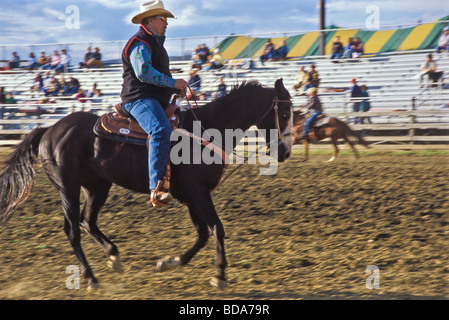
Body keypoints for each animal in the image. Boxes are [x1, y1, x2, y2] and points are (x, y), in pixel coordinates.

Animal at [0, 78, 292, 290]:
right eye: (287, 112)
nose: (286, 152)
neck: (208, 129)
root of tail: (48, 130)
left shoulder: (191, 196)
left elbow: (202, 234)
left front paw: (170, 262)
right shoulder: (197, 194)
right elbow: (216, 229)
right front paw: (219, 275)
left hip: (96, 186)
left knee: (87, 221)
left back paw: (114, 256)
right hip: (68, 187)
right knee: (73, 229)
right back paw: (91, 278)